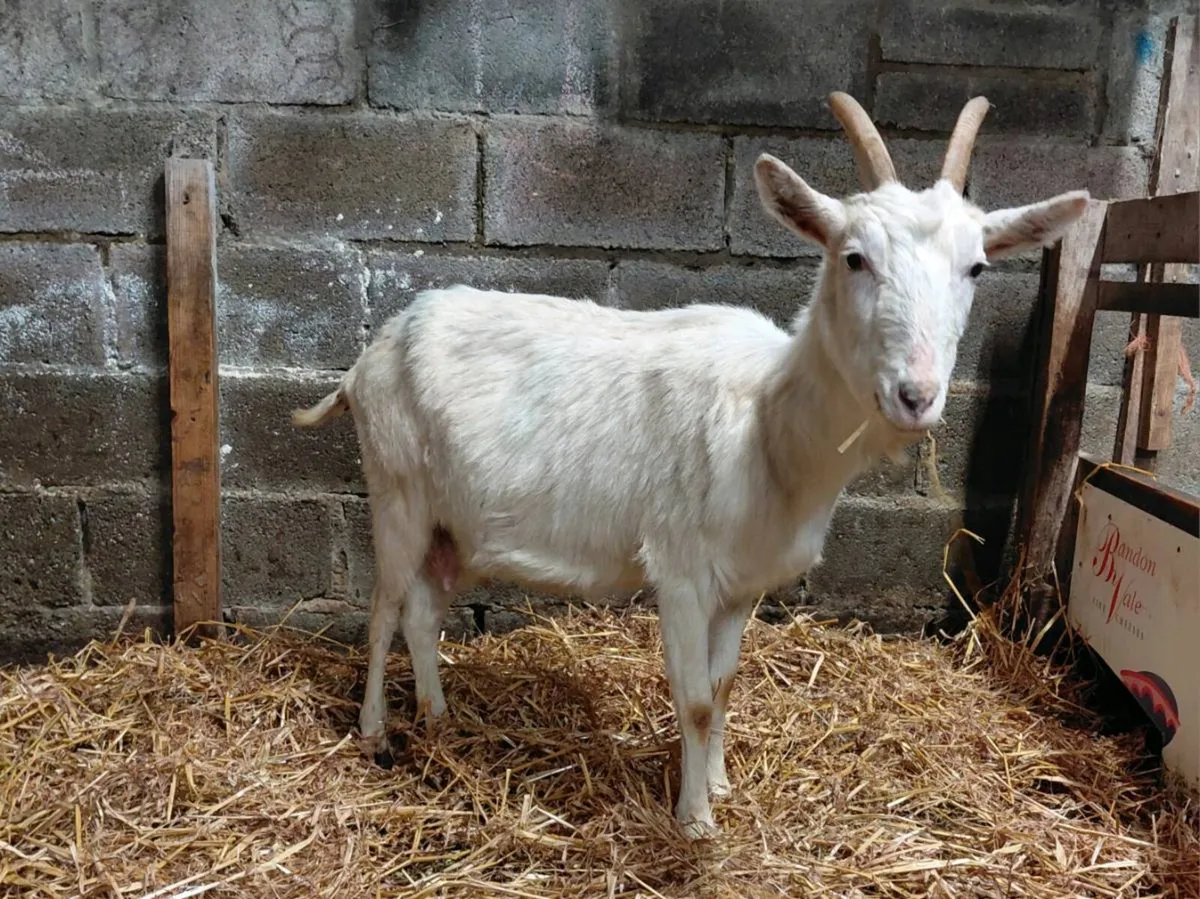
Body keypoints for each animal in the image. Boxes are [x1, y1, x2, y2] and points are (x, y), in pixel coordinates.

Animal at [292, 92, 1089, 839]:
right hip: (395, 487)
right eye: (854, 256)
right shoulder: (679, 568)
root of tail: (366, 359)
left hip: (451, 521)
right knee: (383, 608)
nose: (916, 395)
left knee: (424, 612)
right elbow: (698, 699)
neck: (767, 422)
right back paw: (375, 733)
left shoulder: (742, 586)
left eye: (976, 266)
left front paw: (722, 784)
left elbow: (727, 683)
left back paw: (436, 717)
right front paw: (695, 820)